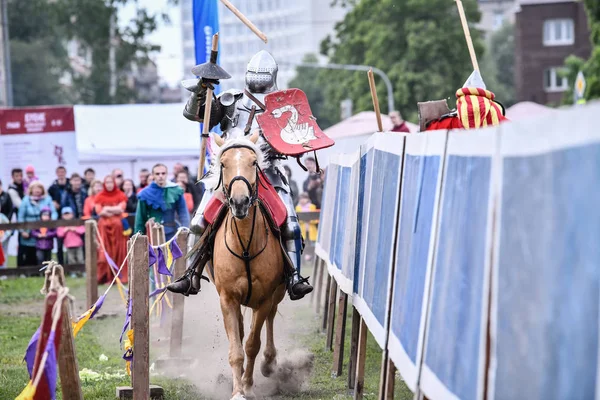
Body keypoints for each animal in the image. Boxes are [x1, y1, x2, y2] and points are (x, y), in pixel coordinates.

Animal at [210, 131, 288, 400]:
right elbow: (236, 348)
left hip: (277, 293)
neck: (245, 244)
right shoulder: (227, 298)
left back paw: (269, 362)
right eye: (223, 164)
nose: (240, 202)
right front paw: (237, 390)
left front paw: (249, 386)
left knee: (271, 318)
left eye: (254, 162)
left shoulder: (264, 299)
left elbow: (252, 344)